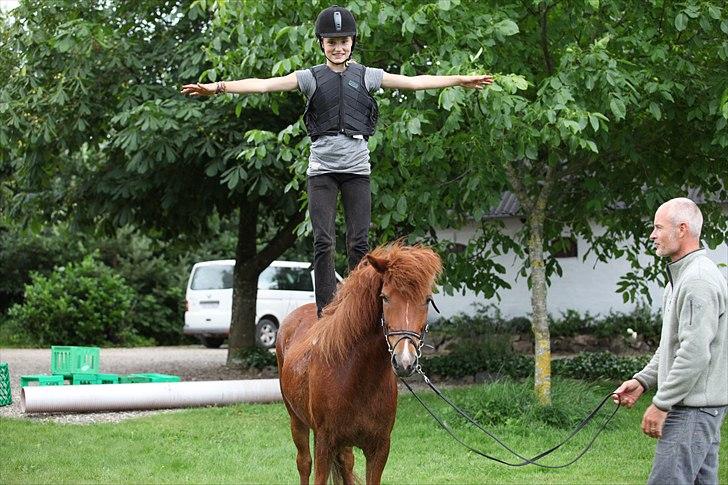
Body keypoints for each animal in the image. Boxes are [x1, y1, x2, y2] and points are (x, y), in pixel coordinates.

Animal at [274, 244, 440, 482]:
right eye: (385, 297)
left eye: (427, 299)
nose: (405, 361)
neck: (357, 376)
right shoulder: (324, 444)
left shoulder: (379, 448)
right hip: (296, 420)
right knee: (304, 463)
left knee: (346, 462)